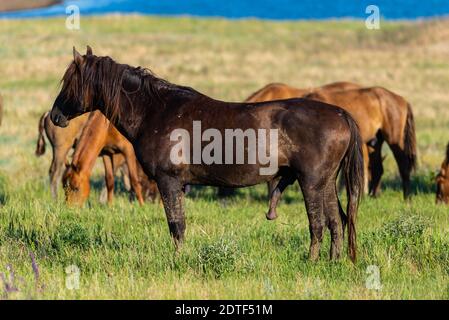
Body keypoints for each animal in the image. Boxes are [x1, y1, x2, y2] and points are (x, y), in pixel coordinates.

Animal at [50, 47, 364, 262]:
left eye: (69, 82)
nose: (55, 116)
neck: (155, 110)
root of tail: (341, 114)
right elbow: (179, 224)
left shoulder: (168, 181)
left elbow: (176, 225)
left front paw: (177, 260)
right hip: (325, 183)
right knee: (336, 221)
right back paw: (333, 261)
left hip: (311, 182)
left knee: (318, 224)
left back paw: (311, 261)